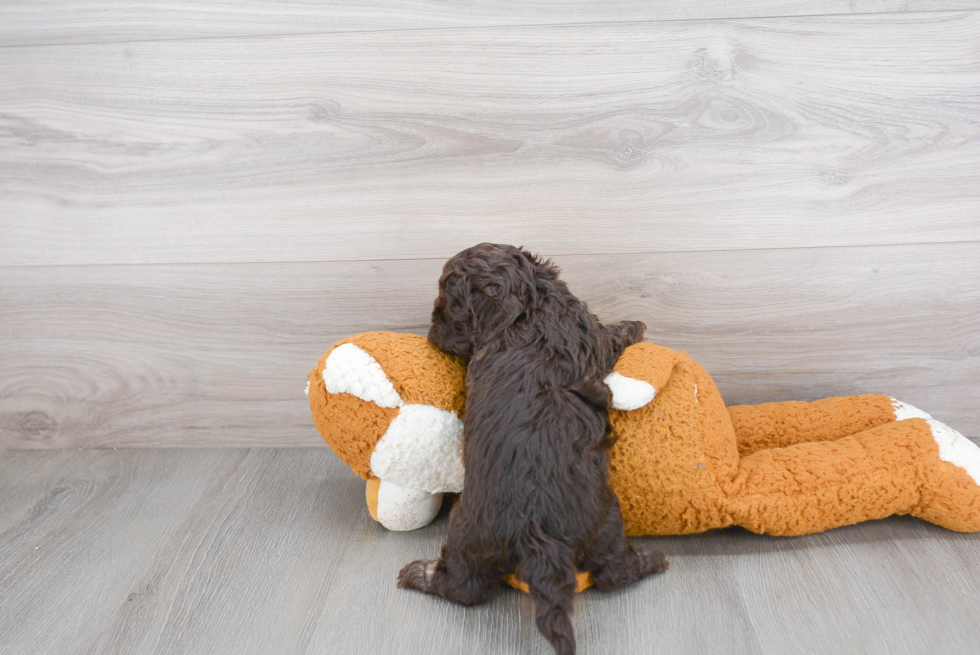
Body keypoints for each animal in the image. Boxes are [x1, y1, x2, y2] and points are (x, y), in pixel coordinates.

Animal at [396, 245, 668, 655]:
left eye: (449, 305)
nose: (432, 336)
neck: (528, 309)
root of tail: (536, 534)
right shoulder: (593, 332)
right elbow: (613, 333)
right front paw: (635, 323)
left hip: (488, 535)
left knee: (468, 588)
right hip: (598, 522)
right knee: (611, 573)